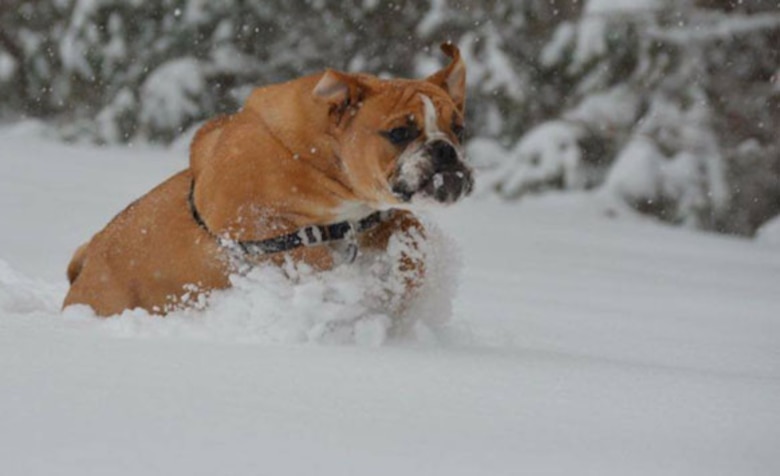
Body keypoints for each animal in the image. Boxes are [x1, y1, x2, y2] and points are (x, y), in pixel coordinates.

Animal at [61, 43, 472, 316]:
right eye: (400, 132)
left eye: (459, 129)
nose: (444, 150)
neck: (317, 160)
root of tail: (86, 262)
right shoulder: (253, 225)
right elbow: (306, 253)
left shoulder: (369, 219)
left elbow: (411, 231)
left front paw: (401, 285)